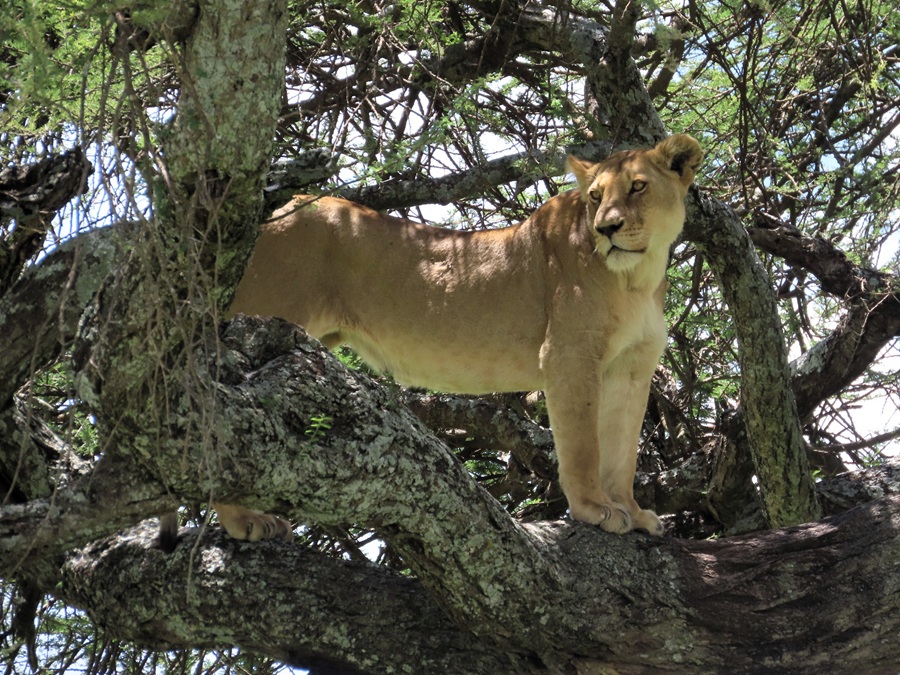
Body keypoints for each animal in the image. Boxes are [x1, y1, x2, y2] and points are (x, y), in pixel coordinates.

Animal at [159, 134, 702, 549]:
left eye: (637, 187)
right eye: (594, 197)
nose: (607, 228)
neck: (636, 278)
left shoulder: (631, 368)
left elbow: (622, 449)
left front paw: (631, 511)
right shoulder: (569, 357)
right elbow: (584, 445)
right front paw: (593, 509)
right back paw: (244, 521)